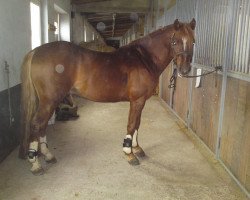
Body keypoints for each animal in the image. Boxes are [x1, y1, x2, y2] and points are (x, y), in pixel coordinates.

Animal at [19, 19, 195, 175]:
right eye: (175, 41)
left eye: (193, 42)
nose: (185, 70)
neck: (143, 58)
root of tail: (36, 51)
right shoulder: (136, 101)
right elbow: (131, 125)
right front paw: (129, 153)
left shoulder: (141, 101)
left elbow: (137, 124)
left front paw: (137, 148)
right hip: (49, 101)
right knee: (37, 124)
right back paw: (35, 164)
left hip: (49, 102)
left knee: (42, 126)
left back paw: (48, 155)